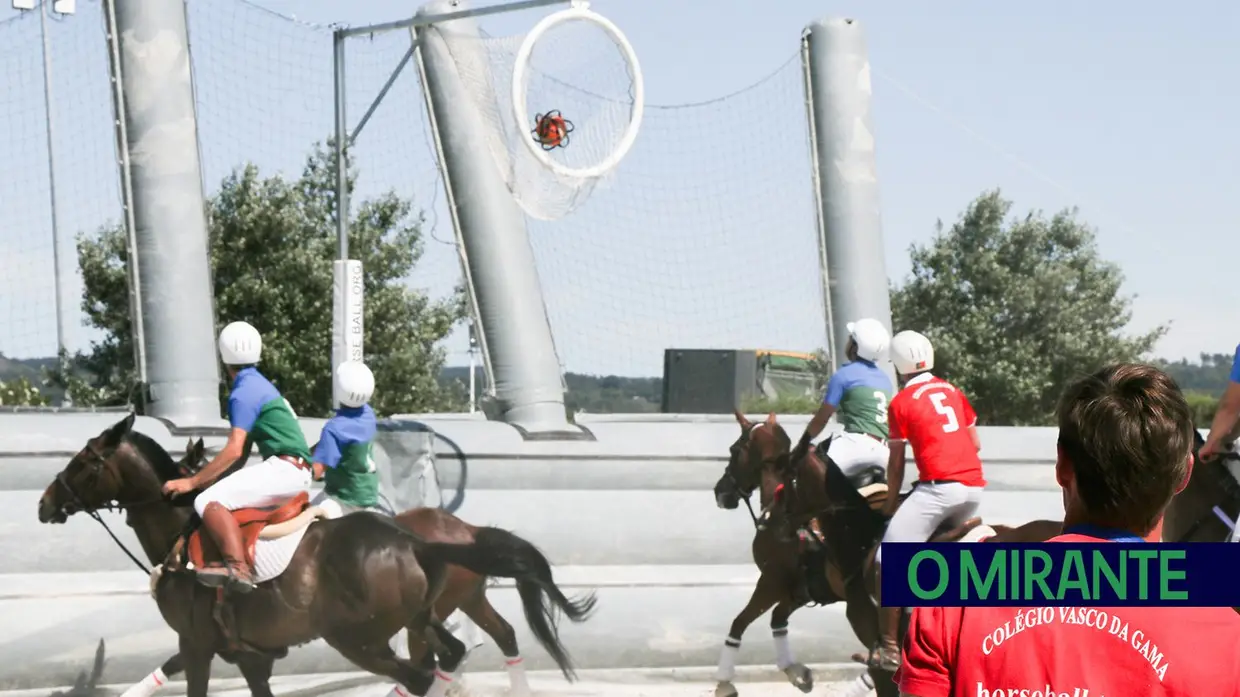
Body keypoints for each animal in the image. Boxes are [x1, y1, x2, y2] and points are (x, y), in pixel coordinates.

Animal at [36, 411, 597, 694]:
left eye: (84, 460)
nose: (45, 502)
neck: (183, 534)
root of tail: (421, 538)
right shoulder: (245, 655)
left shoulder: (196, 643)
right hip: (429, 615)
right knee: (468, 648)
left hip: (360, 637)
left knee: (420, 675)